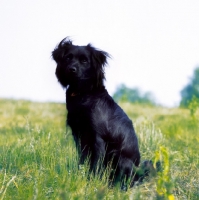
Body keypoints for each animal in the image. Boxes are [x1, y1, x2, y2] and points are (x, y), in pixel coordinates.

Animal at [52, 37, 146, 189]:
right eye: (68, 58)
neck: (84, 94)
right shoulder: (79, 136)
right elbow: (83, 160)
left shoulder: (98, 138)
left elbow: (95, 164)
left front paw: (92, 181)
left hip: (120, 159)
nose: (71, 69)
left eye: (84, 61)